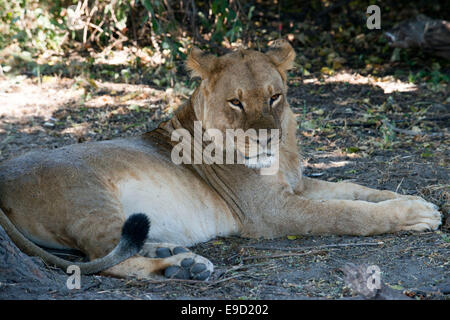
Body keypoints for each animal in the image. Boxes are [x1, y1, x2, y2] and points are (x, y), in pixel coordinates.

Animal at [0, 40, 442, 280]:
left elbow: (356, 189)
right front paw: (414, 215)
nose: (265, 136)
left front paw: (414, 200)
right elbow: (346, 213)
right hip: (88, 194)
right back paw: (182, 267)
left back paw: (173, 255)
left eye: (275, 96)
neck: (282, 157)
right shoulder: (270, 212)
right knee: (99, 256)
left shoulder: (298, 185)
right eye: (236, 102)